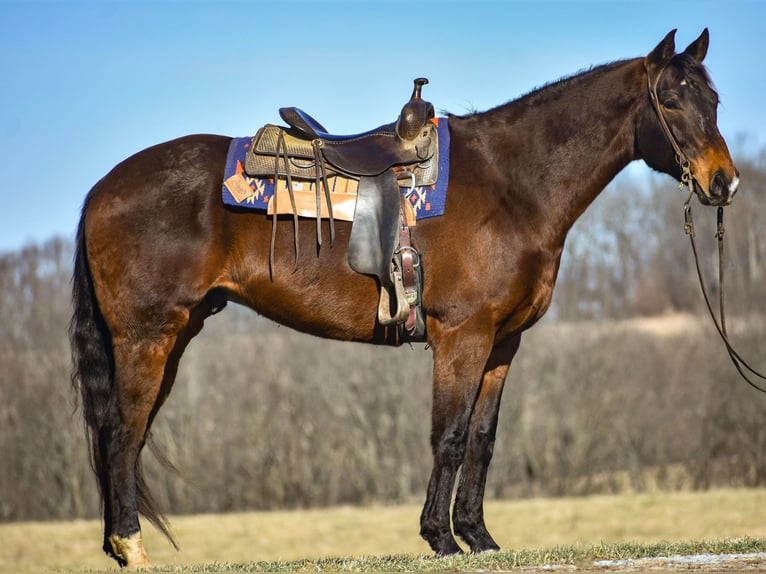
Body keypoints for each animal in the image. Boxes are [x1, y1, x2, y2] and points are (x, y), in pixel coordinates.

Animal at [72, 29, 744, 568]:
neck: (512, 184)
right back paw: (132, 547)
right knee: (123, 432)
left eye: (714, 100)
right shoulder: (461, 336)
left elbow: (482, 439)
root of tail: (102, 189)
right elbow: (448, 435)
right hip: (148, 337)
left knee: (127, 434)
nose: (724, 183)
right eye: (671, 99)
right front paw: (440, 539)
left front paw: (479, 538)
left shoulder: (503, 342)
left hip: (176, 335)